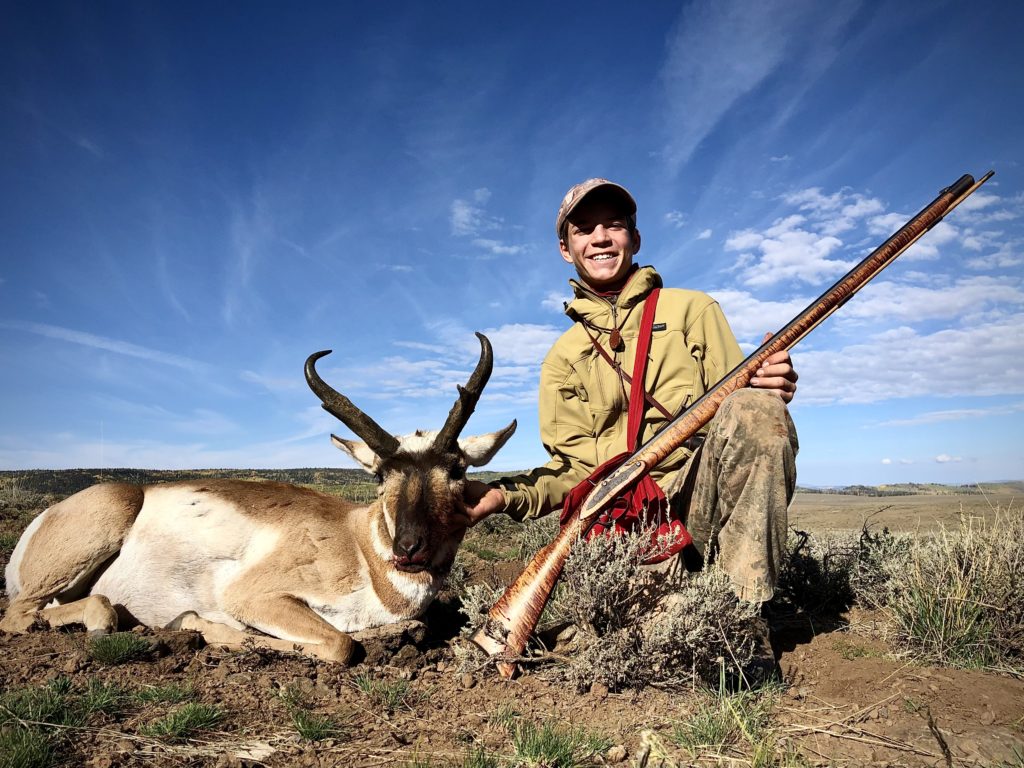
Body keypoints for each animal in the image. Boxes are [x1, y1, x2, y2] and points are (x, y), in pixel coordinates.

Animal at [0, 333, 512, 663]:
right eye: (381, 475)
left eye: (457, 470)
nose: (409, 549)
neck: (360, 545)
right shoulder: (252, 597)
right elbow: (341, 644)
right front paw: (194, 624)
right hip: (109, 514)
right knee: (20, 615)